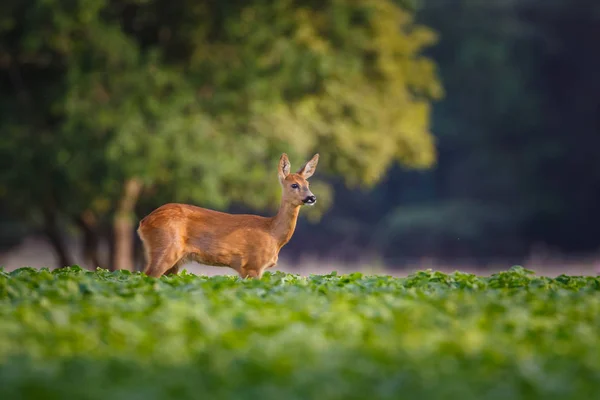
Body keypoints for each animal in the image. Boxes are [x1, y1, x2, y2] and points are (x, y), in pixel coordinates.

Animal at [139, 153, 322, 278]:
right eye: (294, 185)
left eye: (308, 183)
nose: (312, 197)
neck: (273, 234)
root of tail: (143, 223)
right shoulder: (253, 265)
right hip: (165, 248)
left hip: (175, 262)